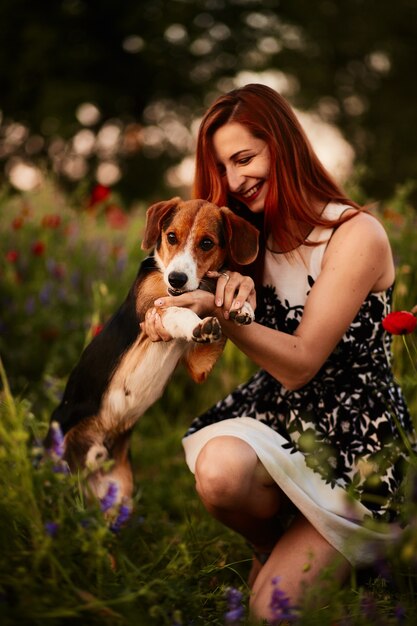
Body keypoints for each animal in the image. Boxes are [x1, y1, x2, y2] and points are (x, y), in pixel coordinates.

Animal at [44, 197, 256, 500]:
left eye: (207, 243)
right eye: (171, 237)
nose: (176, 279)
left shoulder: (199, 366)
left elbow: (220, 299)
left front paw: (240, 305)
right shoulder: (152, 313)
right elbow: (176, 312)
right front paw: (197, 322)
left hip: (119, 495)